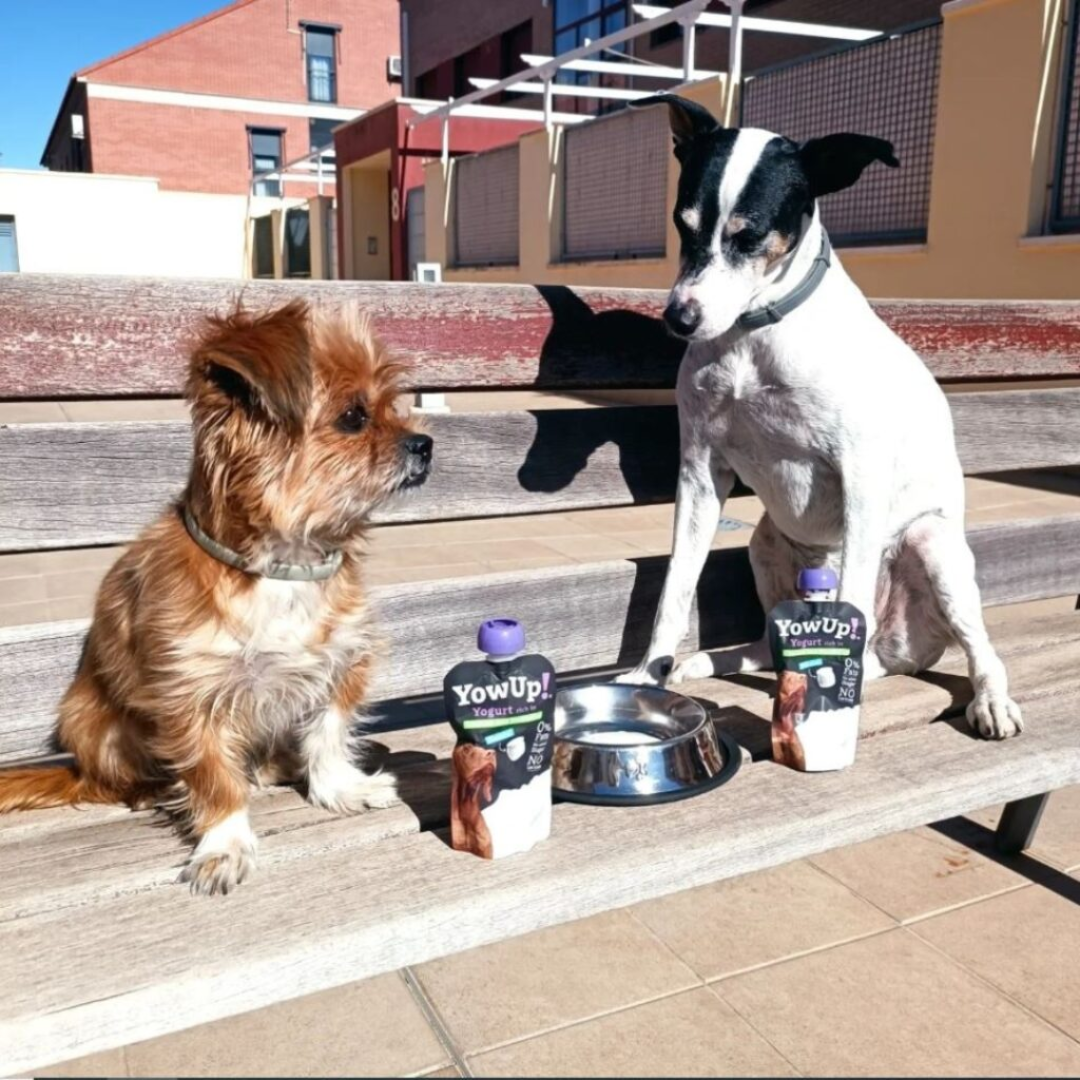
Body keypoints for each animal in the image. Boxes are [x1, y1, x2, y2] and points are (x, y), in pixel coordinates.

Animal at [0, 302, 432, 894]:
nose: (425, 444)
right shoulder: (191, 695)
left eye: (393, 405)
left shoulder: (343, 662)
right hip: (90, 721)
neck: (283, 567)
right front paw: (225, 843)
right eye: (354, 417)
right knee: (112, 781)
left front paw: (340, 789)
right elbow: (214, 778)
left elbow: (327, 736)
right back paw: (151, 791)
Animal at [622, 92, 1023, 738]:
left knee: (976, 644)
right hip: (763, 541)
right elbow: (674, 589)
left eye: (750, 236)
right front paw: (645, 678)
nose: (679, 319)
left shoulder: (860, 473)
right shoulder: (700, 472)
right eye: (682, 226)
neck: (753, 337)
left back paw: (990, 699)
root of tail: (894, 654)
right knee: (771, 642)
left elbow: (851, 597)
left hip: (935, 546)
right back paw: (711, 660)